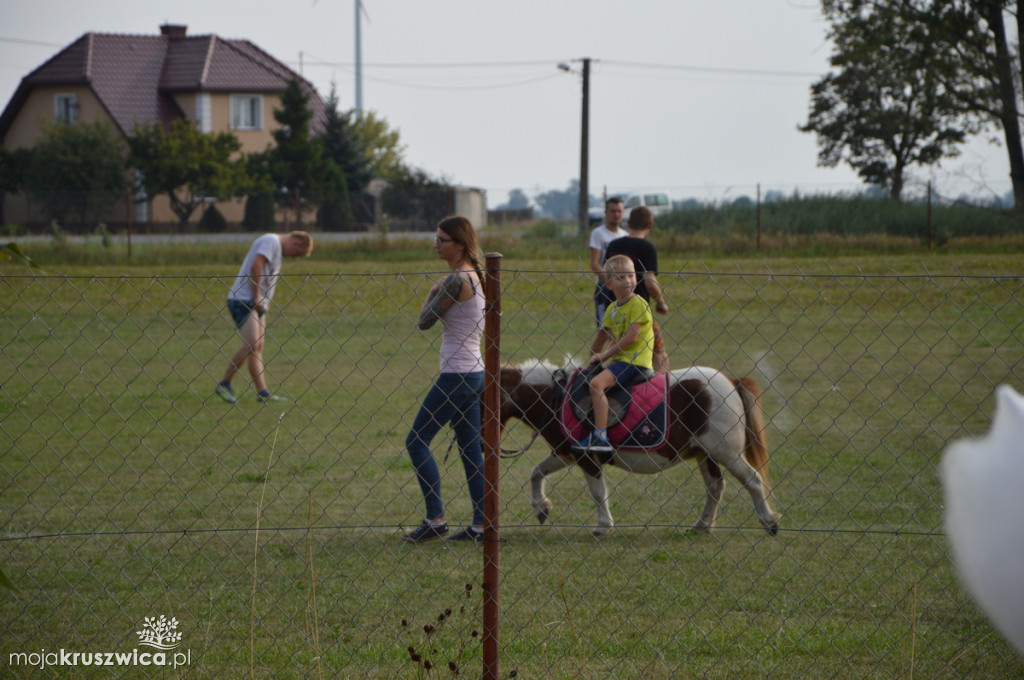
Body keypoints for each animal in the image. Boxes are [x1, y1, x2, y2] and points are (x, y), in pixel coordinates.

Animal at [499, 358, 778, 540]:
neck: (555, 396)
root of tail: (730, 380)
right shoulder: (566, 453)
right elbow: (536, 473)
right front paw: (541, 508)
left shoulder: (586, 457)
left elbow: (598, 492)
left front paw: (603, 525)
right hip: (704, 453)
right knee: (715, 486)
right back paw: (702, 525)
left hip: (727, 452)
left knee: (752, 480)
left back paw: (768, 520)